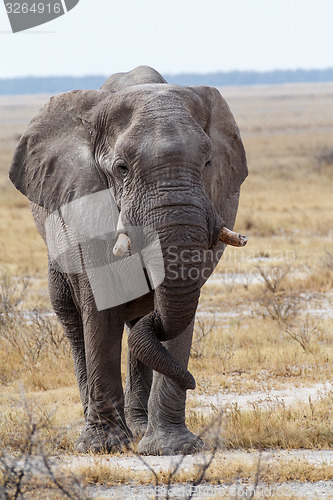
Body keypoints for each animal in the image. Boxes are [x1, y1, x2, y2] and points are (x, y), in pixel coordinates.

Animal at [9, 64, 246, 456]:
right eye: (121, 168)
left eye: (208, 162)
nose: (194, 382)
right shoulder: (83, 203)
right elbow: (99, 308)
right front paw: (103, 446)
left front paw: (173, 448)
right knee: (74, 321)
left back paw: (139, 427)